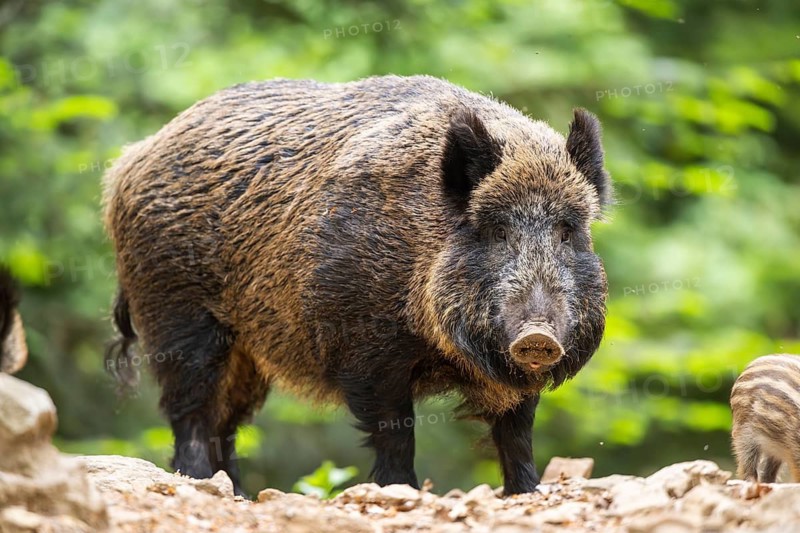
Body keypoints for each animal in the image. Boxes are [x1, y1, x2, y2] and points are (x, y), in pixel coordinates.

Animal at [103, 75, 611, 496]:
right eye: (497, 230)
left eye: (568, 231)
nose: (538, 336)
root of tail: (128, 163)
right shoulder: (365, 348)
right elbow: (395, 431)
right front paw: (400, 491)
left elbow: (517, 432)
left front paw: (527, 494)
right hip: (177, 315)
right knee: (190, 411)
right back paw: (200, 483)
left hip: (247, 351)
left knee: (224, 424)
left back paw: (238, 493)